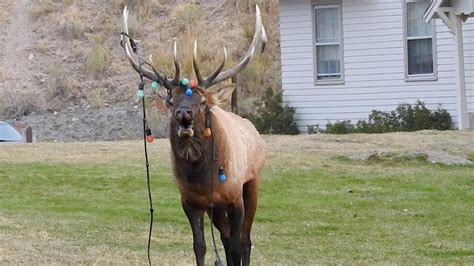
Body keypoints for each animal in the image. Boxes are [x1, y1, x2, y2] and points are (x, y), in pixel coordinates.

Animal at [121, 4, 266, 266]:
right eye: (171, 101)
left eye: (202, 101)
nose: (183, 113)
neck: (204, 180)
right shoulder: (190, 201)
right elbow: (200, 246)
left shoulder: (234, 197)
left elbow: (238, 247)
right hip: (215, 209)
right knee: (226, 239)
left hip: (252, 183)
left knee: (245, 241)